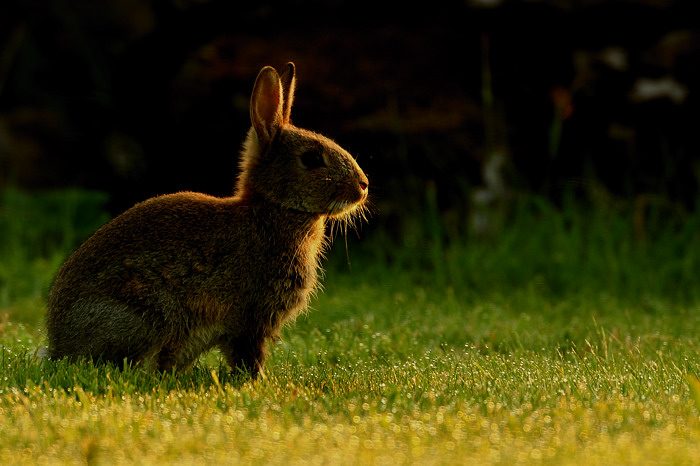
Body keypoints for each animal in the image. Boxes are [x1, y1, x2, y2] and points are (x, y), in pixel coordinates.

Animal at [46, 62, 369, 379]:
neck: (271, 209)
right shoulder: (250, 318)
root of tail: (59, 346)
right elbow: (247, 355)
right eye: (312, 159)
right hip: (146, 311)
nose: (364, 185)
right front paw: (258, 382)